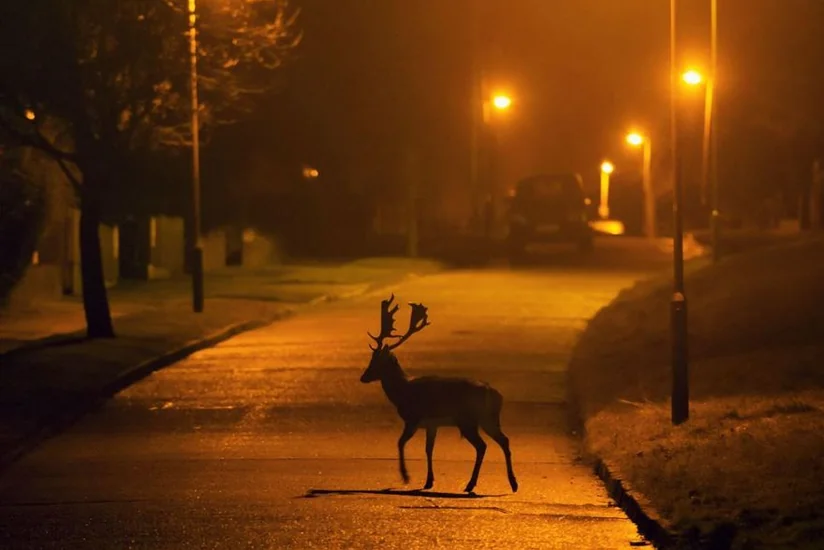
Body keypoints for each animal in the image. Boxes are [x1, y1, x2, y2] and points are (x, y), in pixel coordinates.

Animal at [360, 294, 518, 494]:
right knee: (504, 440)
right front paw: (428, 481)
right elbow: (429, 449)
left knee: (482, 446)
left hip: (467, 420)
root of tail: (495, 394)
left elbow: (400, 442)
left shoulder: (414, 418)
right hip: (488, 419)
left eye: (376, 361)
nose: (363, 377)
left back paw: (471, 484)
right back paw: (513, 484)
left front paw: (406, 476)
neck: (403, 393)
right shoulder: (431, 424)